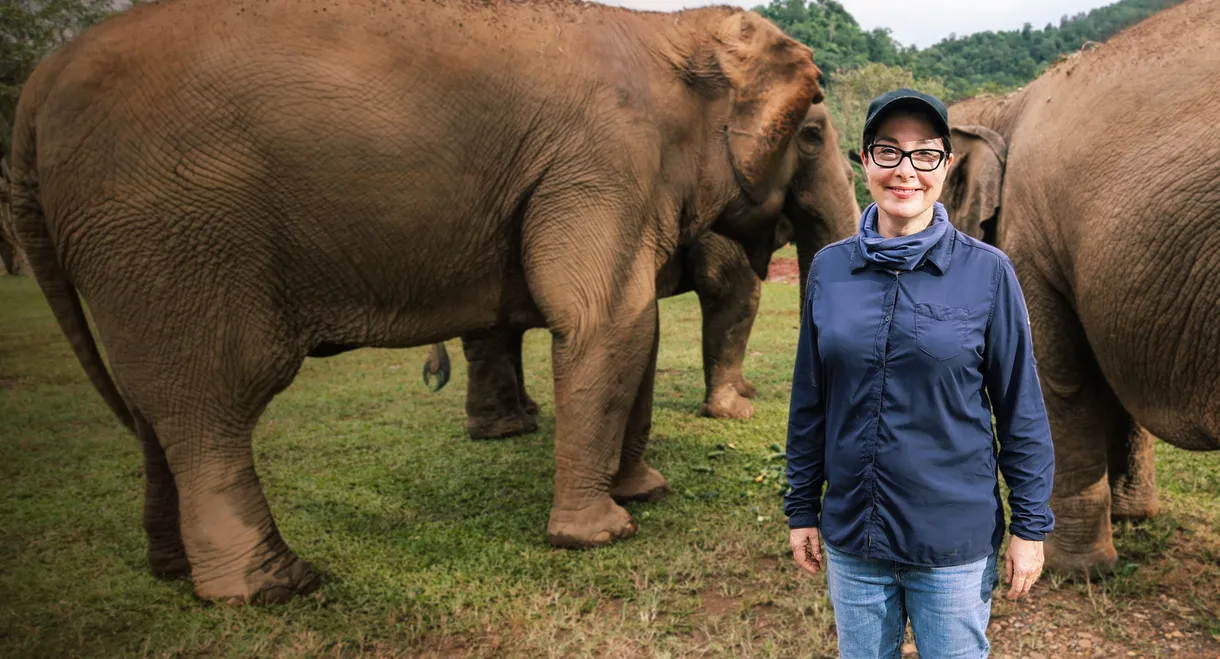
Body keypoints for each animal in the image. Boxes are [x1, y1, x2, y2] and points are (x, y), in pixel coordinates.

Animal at [7, 0, 819, 605]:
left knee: (156, 406)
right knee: (212, 398)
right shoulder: (603, 159)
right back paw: (276, 586)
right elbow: (612, 319)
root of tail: (37, 87)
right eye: (812, 129)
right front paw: (604, 533)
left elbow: (629, 324)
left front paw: (645, 493)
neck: (665, 30)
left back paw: (174, 570)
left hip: (135, 254)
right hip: (176, 232)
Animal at [424, 103, 863, 436]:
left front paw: (746, 391)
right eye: (810, 138)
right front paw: (735, 411)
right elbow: (736, 291)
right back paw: (507, 428)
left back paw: (523, 414)